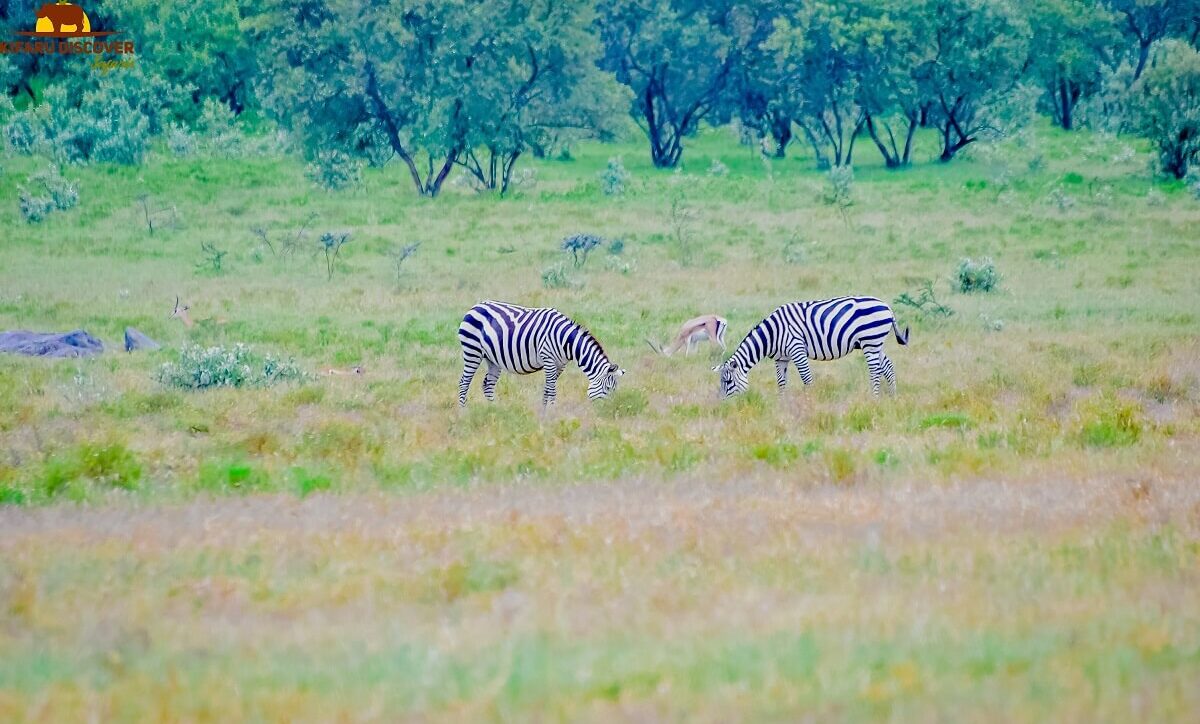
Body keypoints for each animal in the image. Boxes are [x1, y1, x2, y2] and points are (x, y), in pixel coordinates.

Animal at [456, 301, 628, 408]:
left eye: (614, 390)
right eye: (608, 388)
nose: (609, 410)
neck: (565, 341)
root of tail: (475, 306)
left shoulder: (560, 365)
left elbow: (547, 388)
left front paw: (544, 411)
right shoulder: (548, 359)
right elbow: (552, 389)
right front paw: (552, 410)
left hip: (493, 359)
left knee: (488, 385)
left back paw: (495, 410)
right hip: (472, 351)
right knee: (464, 383)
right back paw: (463, 412)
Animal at [710, 296, 907, 403]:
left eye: (728, 382)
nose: (723, 404)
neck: (772, 334)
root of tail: (887, 306)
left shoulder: (797, 349)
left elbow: (807, 379)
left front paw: (810, 403)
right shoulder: (781, 358)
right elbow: (781, 382)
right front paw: (782, 404)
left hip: (870, 341)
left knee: (875, 371)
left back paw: (874, 398)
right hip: (875, 343)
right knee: (887, 367)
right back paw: (893, 397)